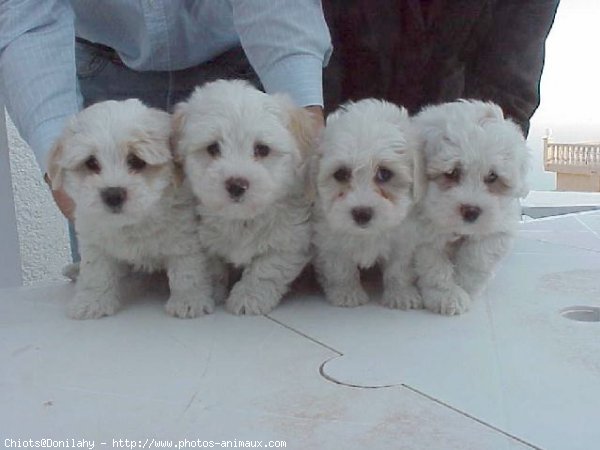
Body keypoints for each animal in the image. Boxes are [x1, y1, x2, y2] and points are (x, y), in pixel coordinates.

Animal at [48, 101, 213, 320]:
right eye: (91, 163)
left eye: (136, 161)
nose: (113, 194)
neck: (133, 222)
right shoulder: (94, 241)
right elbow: (95, 273)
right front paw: (92, 302)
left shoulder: (185, 238)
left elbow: (187, 271)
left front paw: (189, 301)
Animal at [171, 79, 316, 314]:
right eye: (212, 148)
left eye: (262, 149)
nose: (236, 185)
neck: (242, 219)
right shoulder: (203, 239)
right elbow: (210, 267)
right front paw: (212, 292)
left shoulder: (291, 238)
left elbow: (267, 269)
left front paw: (248, 297)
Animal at [412, 100, 528, 314]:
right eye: (451, 173)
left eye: (492, 176)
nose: (471, 211)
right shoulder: (422, 237)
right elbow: (434, 265)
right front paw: (447, 296)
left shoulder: (498, 229)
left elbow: (477, 258)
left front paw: (465, 287)